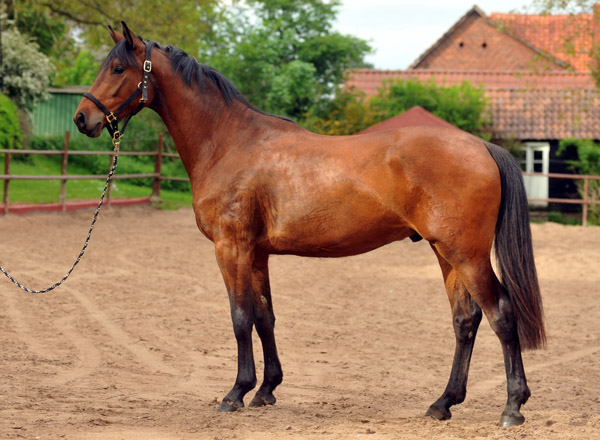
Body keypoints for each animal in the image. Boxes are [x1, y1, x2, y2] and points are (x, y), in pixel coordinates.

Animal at [74, 21, 544, 426]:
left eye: (118, 68)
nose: (82, 119)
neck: (228, 141)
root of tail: (482, 146)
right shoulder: (257, 253)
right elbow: (264, 316)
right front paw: (266, 390)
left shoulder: (231, 247)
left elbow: (240, 316)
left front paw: (235, 393)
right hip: (445, 252)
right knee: (465, 320)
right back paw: (443, 403)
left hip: (466, 254)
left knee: (501, 314)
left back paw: (512, 407)